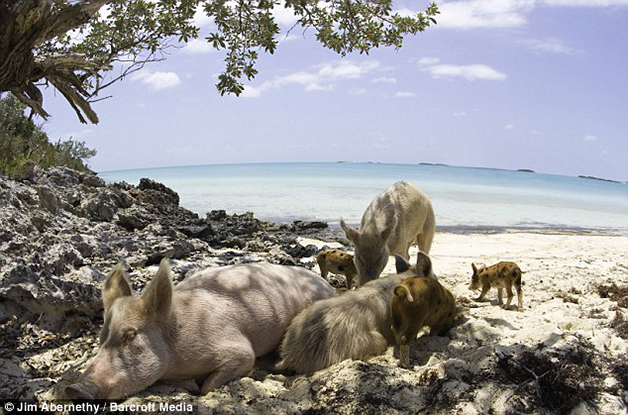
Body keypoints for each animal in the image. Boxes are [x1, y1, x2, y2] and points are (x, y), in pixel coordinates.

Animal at [65, 260, 334, 400]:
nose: (74, 388)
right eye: (101, 338)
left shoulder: (236, 348)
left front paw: (195, 388)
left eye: (130, 335)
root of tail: (328, 285)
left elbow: (209, 386)